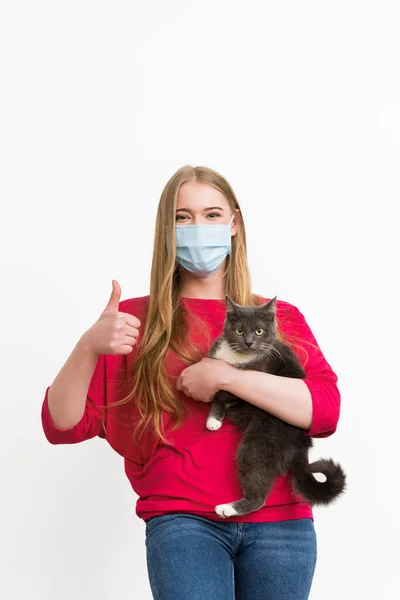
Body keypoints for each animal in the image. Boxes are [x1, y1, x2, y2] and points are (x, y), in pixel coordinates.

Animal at [208, 298, 346, 516]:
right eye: (239, 330)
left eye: (259, 331)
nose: (249, 342)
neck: (237, 359)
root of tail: (303, 441)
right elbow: (216, 397)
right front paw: (213, 420)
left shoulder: (246, 382)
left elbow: (221, 392)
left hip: (262, 439)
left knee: (258, 487)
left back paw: (228, 508)